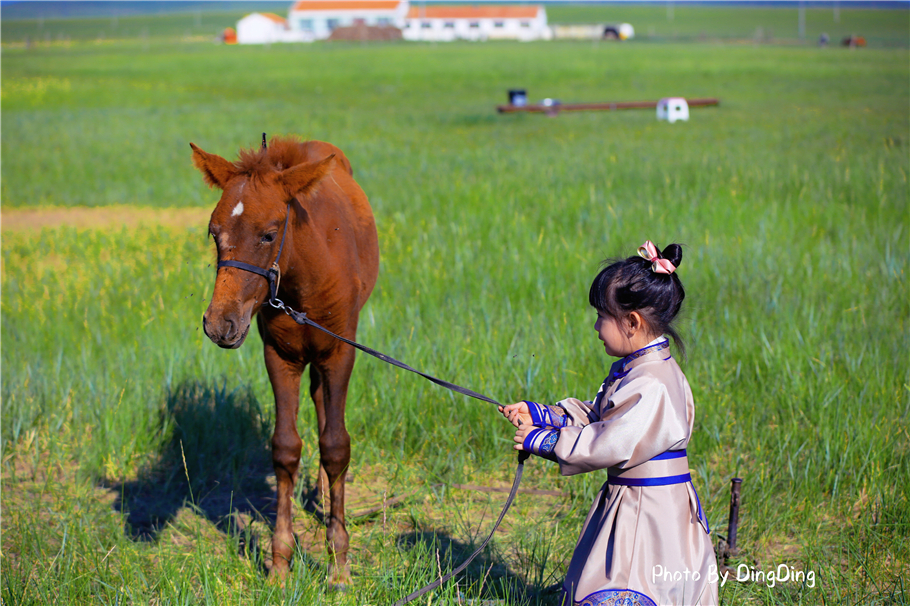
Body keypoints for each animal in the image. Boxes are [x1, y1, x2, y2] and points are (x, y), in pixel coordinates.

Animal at [191, 137, 380, 584]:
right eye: (213, 232)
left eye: (269, 234)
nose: (219, 323)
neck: (303, 283)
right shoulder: (279, 356)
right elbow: (284, 448)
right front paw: (279, 563)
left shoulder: (340, 352)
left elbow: (336, 446)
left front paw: (339, 565)